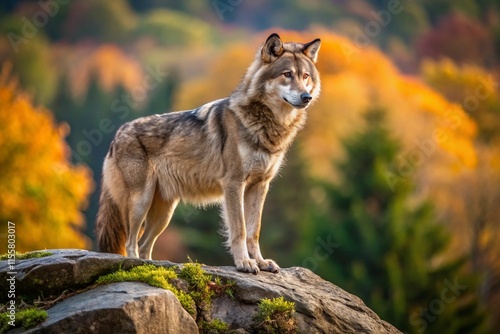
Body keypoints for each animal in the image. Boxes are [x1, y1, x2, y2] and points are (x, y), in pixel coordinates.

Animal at [94, 34, 320, 274]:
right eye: (287, 74)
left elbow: (254, 231)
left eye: (305, 76)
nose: (306, 97)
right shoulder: (234, 184)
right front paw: (244, 263)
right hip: (140, 203)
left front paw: (261, 262)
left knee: (144, 245)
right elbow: (239, 230)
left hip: (164, 215)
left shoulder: (260, 186)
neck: (268, 125)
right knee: (131, 243)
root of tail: (118, 133)